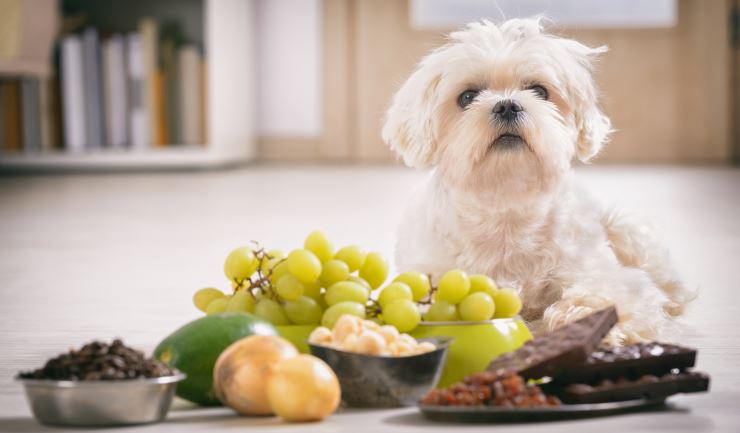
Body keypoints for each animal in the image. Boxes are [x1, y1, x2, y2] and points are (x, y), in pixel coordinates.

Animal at [382, 17, 692, 344]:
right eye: (467, 97)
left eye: (539, 91)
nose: (507, 105)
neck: (506, 202)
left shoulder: (604, 274)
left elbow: (608, 294)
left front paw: (582, 319)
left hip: (625, 229)